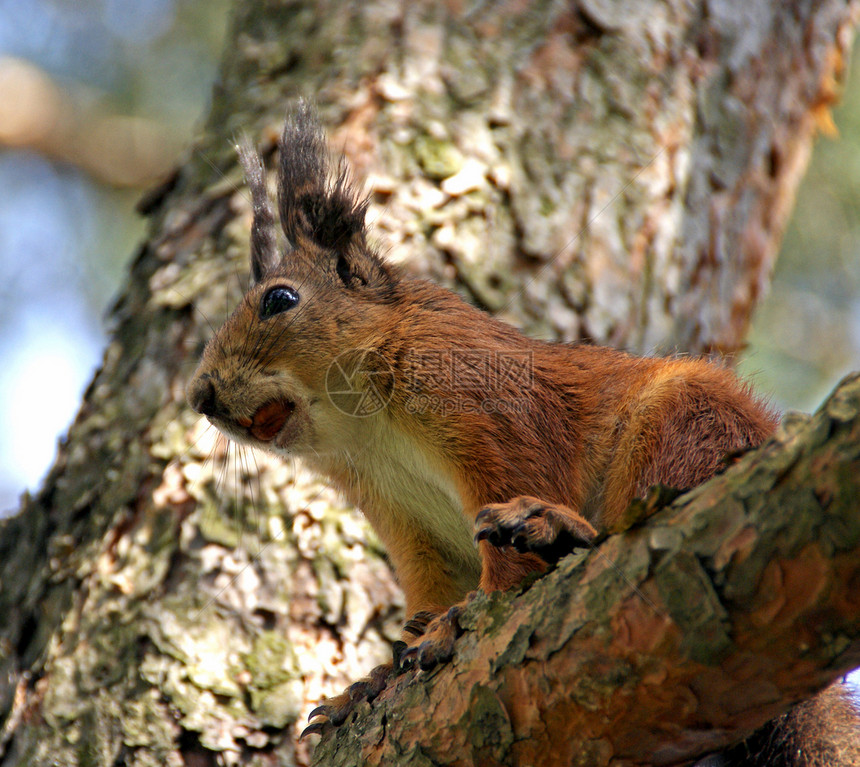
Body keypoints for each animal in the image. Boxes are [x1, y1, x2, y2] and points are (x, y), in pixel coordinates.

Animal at [185, 105, 856, 764]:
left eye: (280, 299)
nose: (200, 396)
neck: (366, 425)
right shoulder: (406, 518)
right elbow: (431, 588)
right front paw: (375, 680)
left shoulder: (494, 415)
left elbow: (510, 541)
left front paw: (458, 622)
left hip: (684, 420)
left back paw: (558, 531)